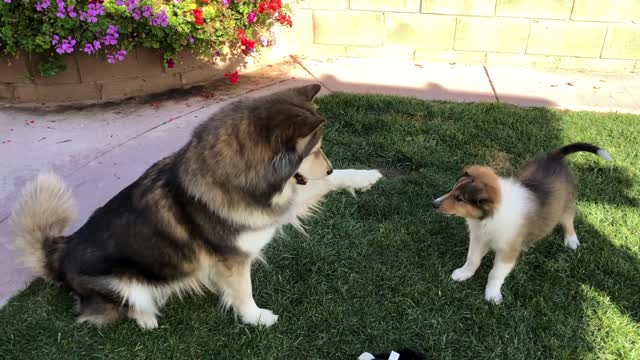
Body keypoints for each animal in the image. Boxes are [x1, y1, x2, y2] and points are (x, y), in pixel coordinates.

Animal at [15, 83, 382, 330]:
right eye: (314, 150)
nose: (329, 167)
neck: (236, 176)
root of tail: (61, 252)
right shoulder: (234, 257)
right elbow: (244, 291)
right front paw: (255, 317)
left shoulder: (271, 211)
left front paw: (363, 176)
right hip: (123, 284)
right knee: (121, 307)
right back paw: (147, 317)